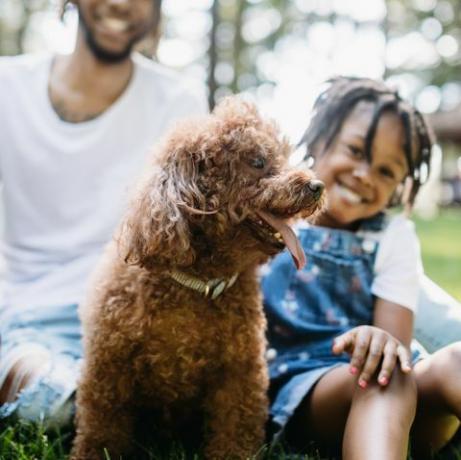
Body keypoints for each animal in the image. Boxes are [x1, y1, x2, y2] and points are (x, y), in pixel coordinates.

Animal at [71, 97, 324, 460]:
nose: (317, 186)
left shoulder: (238, 372)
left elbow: (234, 430)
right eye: (258, 161)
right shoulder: (109, 368)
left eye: (284, 155)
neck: (199, 282)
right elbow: (101, 431)